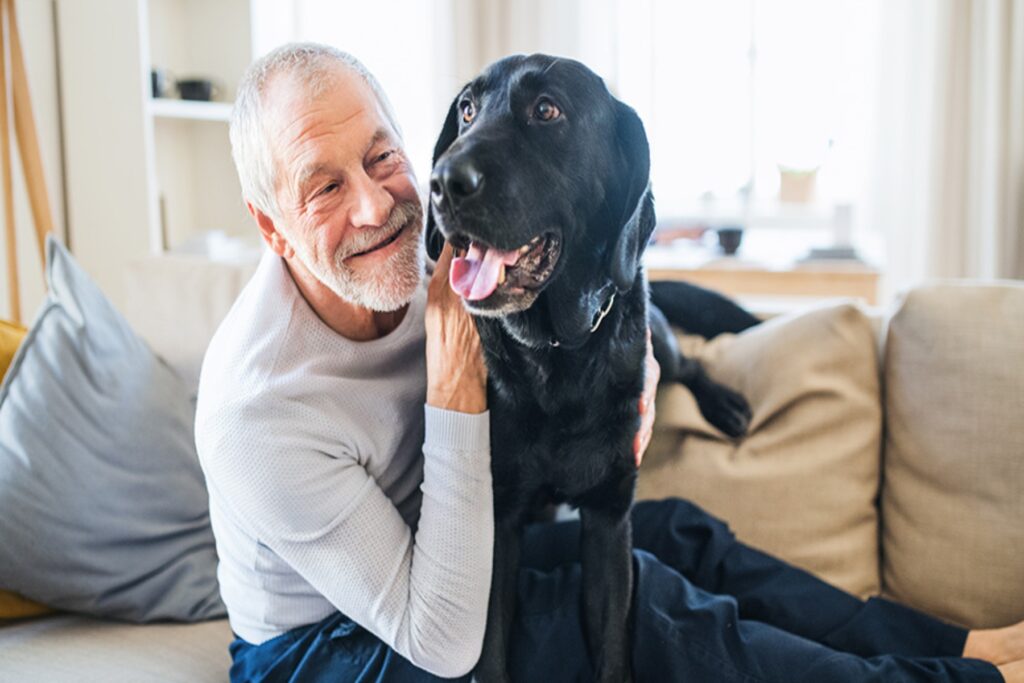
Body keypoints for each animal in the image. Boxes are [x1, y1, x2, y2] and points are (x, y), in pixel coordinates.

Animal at [425, 54, 761, 683]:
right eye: (467, 110)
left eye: (547, 110)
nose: (441, 182)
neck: (555, 352)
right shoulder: (497, 521)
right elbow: (491, 649)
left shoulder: (609, 518)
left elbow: (611, 646)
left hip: (659, 342)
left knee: (690, 362)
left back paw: (725, 404)